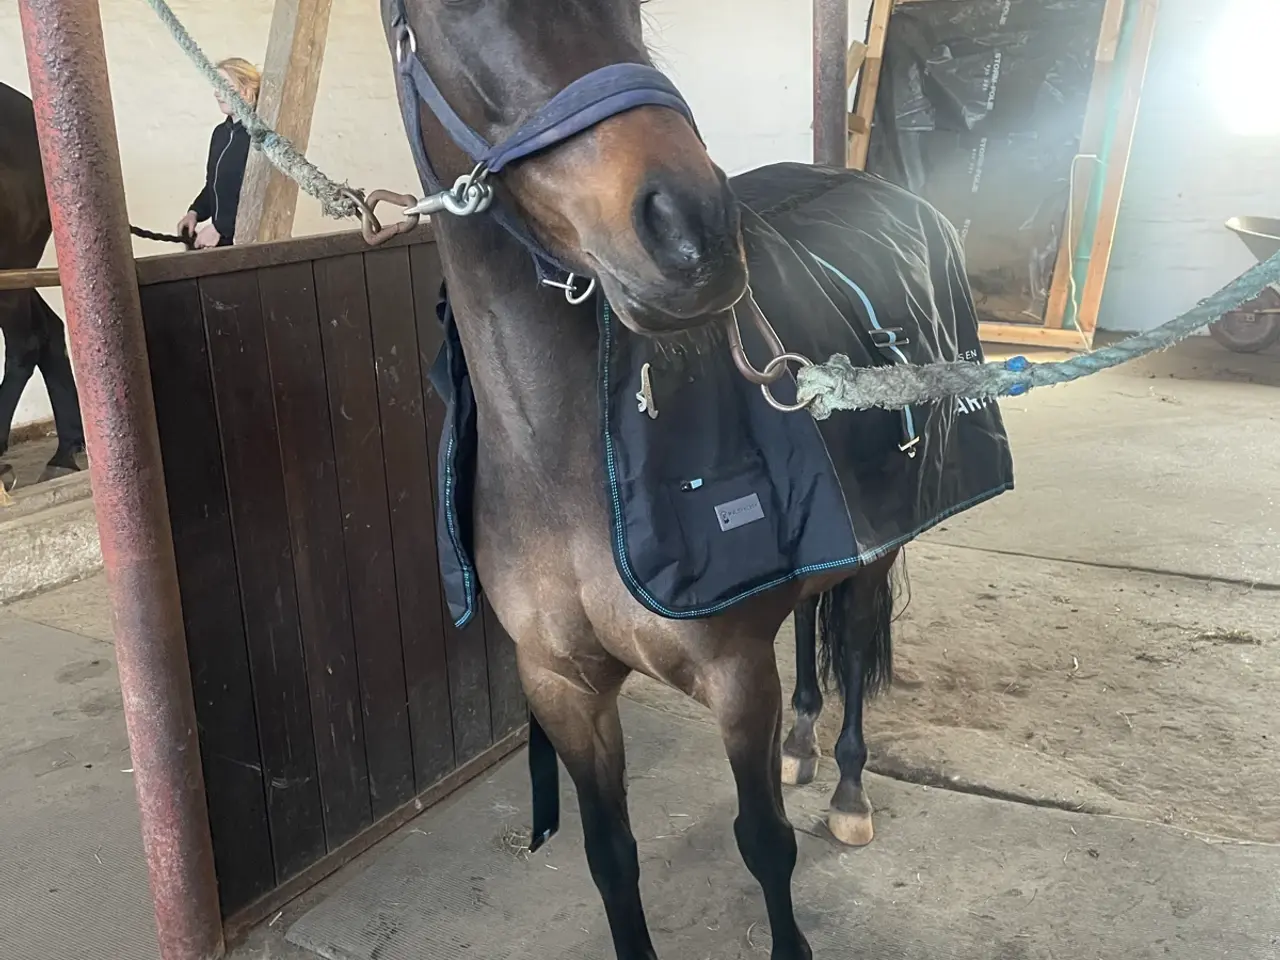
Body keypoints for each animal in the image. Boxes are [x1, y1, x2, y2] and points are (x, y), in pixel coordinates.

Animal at [379, 2, 1010, 957]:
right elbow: (611, 858)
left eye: (633, 12)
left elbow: (765, 844)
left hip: (873, 552)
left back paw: (848, 789)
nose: (695, 230)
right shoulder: (562, 688)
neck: (569, 466)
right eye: (452, 13)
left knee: (852, 643)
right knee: (811, 624)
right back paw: (803, 744)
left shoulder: (734, 678)